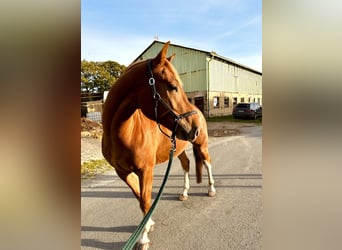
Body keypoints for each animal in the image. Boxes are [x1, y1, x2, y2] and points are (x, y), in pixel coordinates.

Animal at [101, 42, 214, 249]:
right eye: (173, 87)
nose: (194, 129)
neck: (124, 132)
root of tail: (200, 112)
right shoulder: (123, 172)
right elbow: (140, 197)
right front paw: (148, 224)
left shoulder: (146, 170)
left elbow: (145, 200)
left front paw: (143, 238)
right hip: (179, 149)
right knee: (186, 164)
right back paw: (184, 193)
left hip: (201, 145)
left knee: (207, 163)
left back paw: (211, 189)